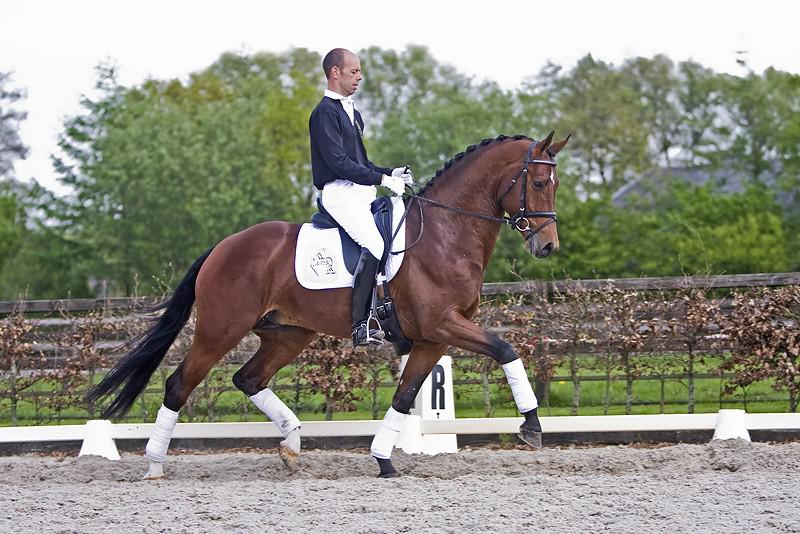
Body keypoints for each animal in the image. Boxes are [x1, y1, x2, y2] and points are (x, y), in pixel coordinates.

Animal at [88, 131, 570, 479]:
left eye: (556, 184)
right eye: (538, 183)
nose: (547, 246)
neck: (444, 233)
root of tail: (222, 247)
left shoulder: (432, 338)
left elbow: (404, 396)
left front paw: (384, 460)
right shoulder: (443, 325)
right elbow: (506, 349)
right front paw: (531, 427)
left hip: (287, 334)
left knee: (248, 378)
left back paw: (291, 446)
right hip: (219, 330)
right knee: (179, 385)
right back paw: (155, 466)